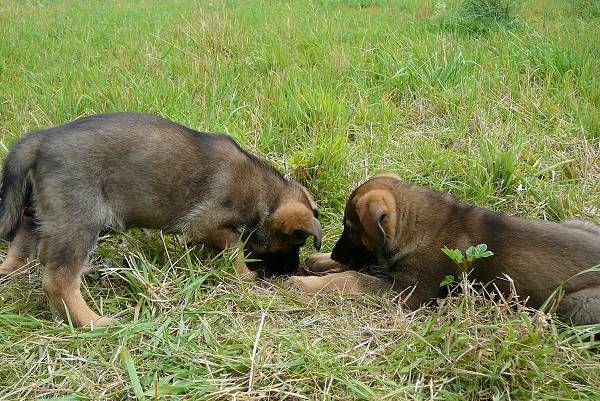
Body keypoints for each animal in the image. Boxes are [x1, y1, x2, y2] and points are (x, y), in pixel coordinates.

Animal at [0, 111, 324, 324]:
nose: (290, 273)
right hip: (80, 218)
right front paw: (245, 276)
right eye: (295, 243)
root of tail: (41, 139)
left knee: (29, 242)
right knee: (58, 279)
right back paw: (93, 322)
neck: (267, 194)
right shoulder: (205, 222)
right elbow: (233, 248)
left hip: (47, 211)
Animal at [284, 173, 600, 324]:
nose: (335, 253)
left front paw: (305, 283)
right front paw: (321, 261)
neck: (415, 223)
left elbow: (353, 277)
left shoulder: (405, 292)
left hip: (578, 303)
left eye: (350, 228)